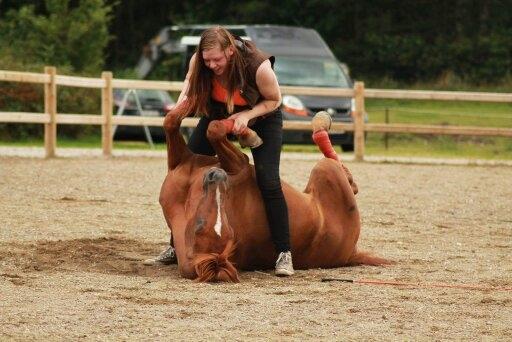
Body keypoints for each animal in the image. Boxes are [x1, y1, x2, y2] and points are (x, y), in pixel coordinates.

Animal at [160, 107, 388, 284]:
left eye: (225, 219)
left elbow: (189, 123)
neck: (188, 201)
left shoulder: (227, 162)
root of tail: (351, 255)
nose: (217, 175)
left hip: (323, 173)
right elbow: (199, 126)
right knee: (341, 168)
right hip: (325, 171)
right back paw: (322, 125)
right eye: (199, 226)